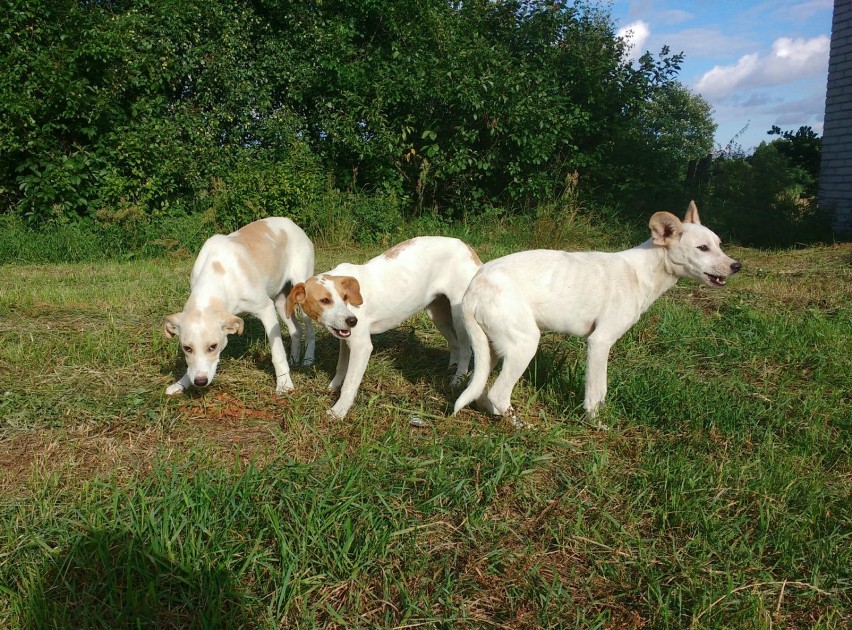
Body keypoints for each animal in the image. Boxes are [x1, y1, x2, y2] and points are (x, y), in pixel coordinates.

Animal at [164, 217, 316, 396]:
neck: (218, 274)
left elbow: (277, 353)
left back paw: (308, 359)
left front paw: (284, 384)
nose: (200, 382)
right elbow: (190, 368)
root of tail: (291, 223)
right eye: (187, 348)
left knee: (310, 331)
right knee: (296, 330)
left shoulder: (266, 309)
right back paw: (293, 359)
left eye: (213, 347)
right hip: (281, 303)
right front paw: (181, 384)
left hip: (303, 297)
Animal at [286, 237, 482, 420]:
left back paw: (457, 380)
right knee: (455, 344)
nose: (352, 320)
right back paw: (451, 369)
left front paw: (339, 411)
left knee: (466, 350)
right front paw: (333, 387)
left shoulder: (361, 346)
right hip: (438, 314)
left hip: (459, 317)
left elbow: (350, 383)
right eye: (324, 300)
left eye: (345, 297)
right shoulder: (346, 339)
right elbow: (341, 367)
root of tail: (466, 246)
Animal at [456, 202, 744, 424]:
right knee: (497, 393)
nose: (737, 266)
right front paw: (596, 424)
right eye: (702, 248)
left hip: (492, 349)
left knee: (480, 391)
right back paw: (521, 426)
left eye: (719, 244)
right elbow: (596, 391)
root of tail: (473, 287)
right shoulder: (599, 342)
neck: (642, 272)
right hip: (524, 345)